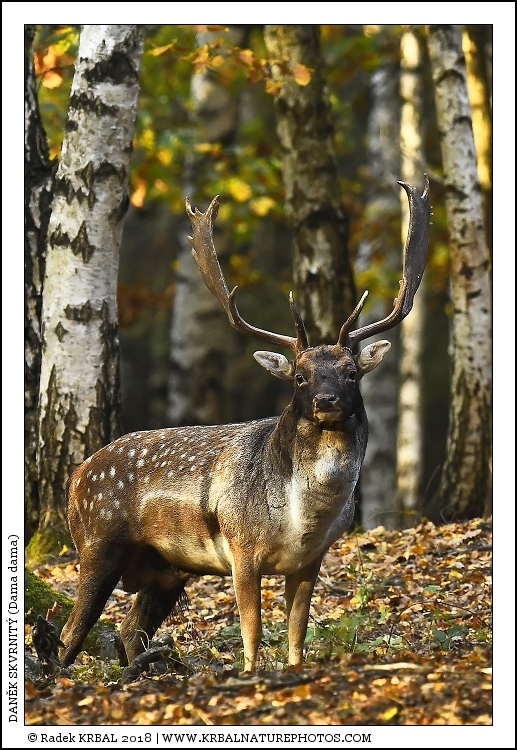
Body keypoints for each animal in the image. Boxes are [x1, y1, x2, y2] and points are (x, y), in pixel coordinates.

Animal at [59, 176, 430, 674]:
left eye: (352, 372)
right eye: (299, 376)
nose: (327, 400)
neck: (302, 518)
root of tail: (76, 477)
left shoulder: (310, 561)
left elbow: (297, 636)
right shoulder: (242, 549)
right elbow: (251, 635)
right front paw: (249, 675)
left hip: (166, 569)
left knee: (129, 629)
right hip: (98, 543)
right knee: (72, 631)